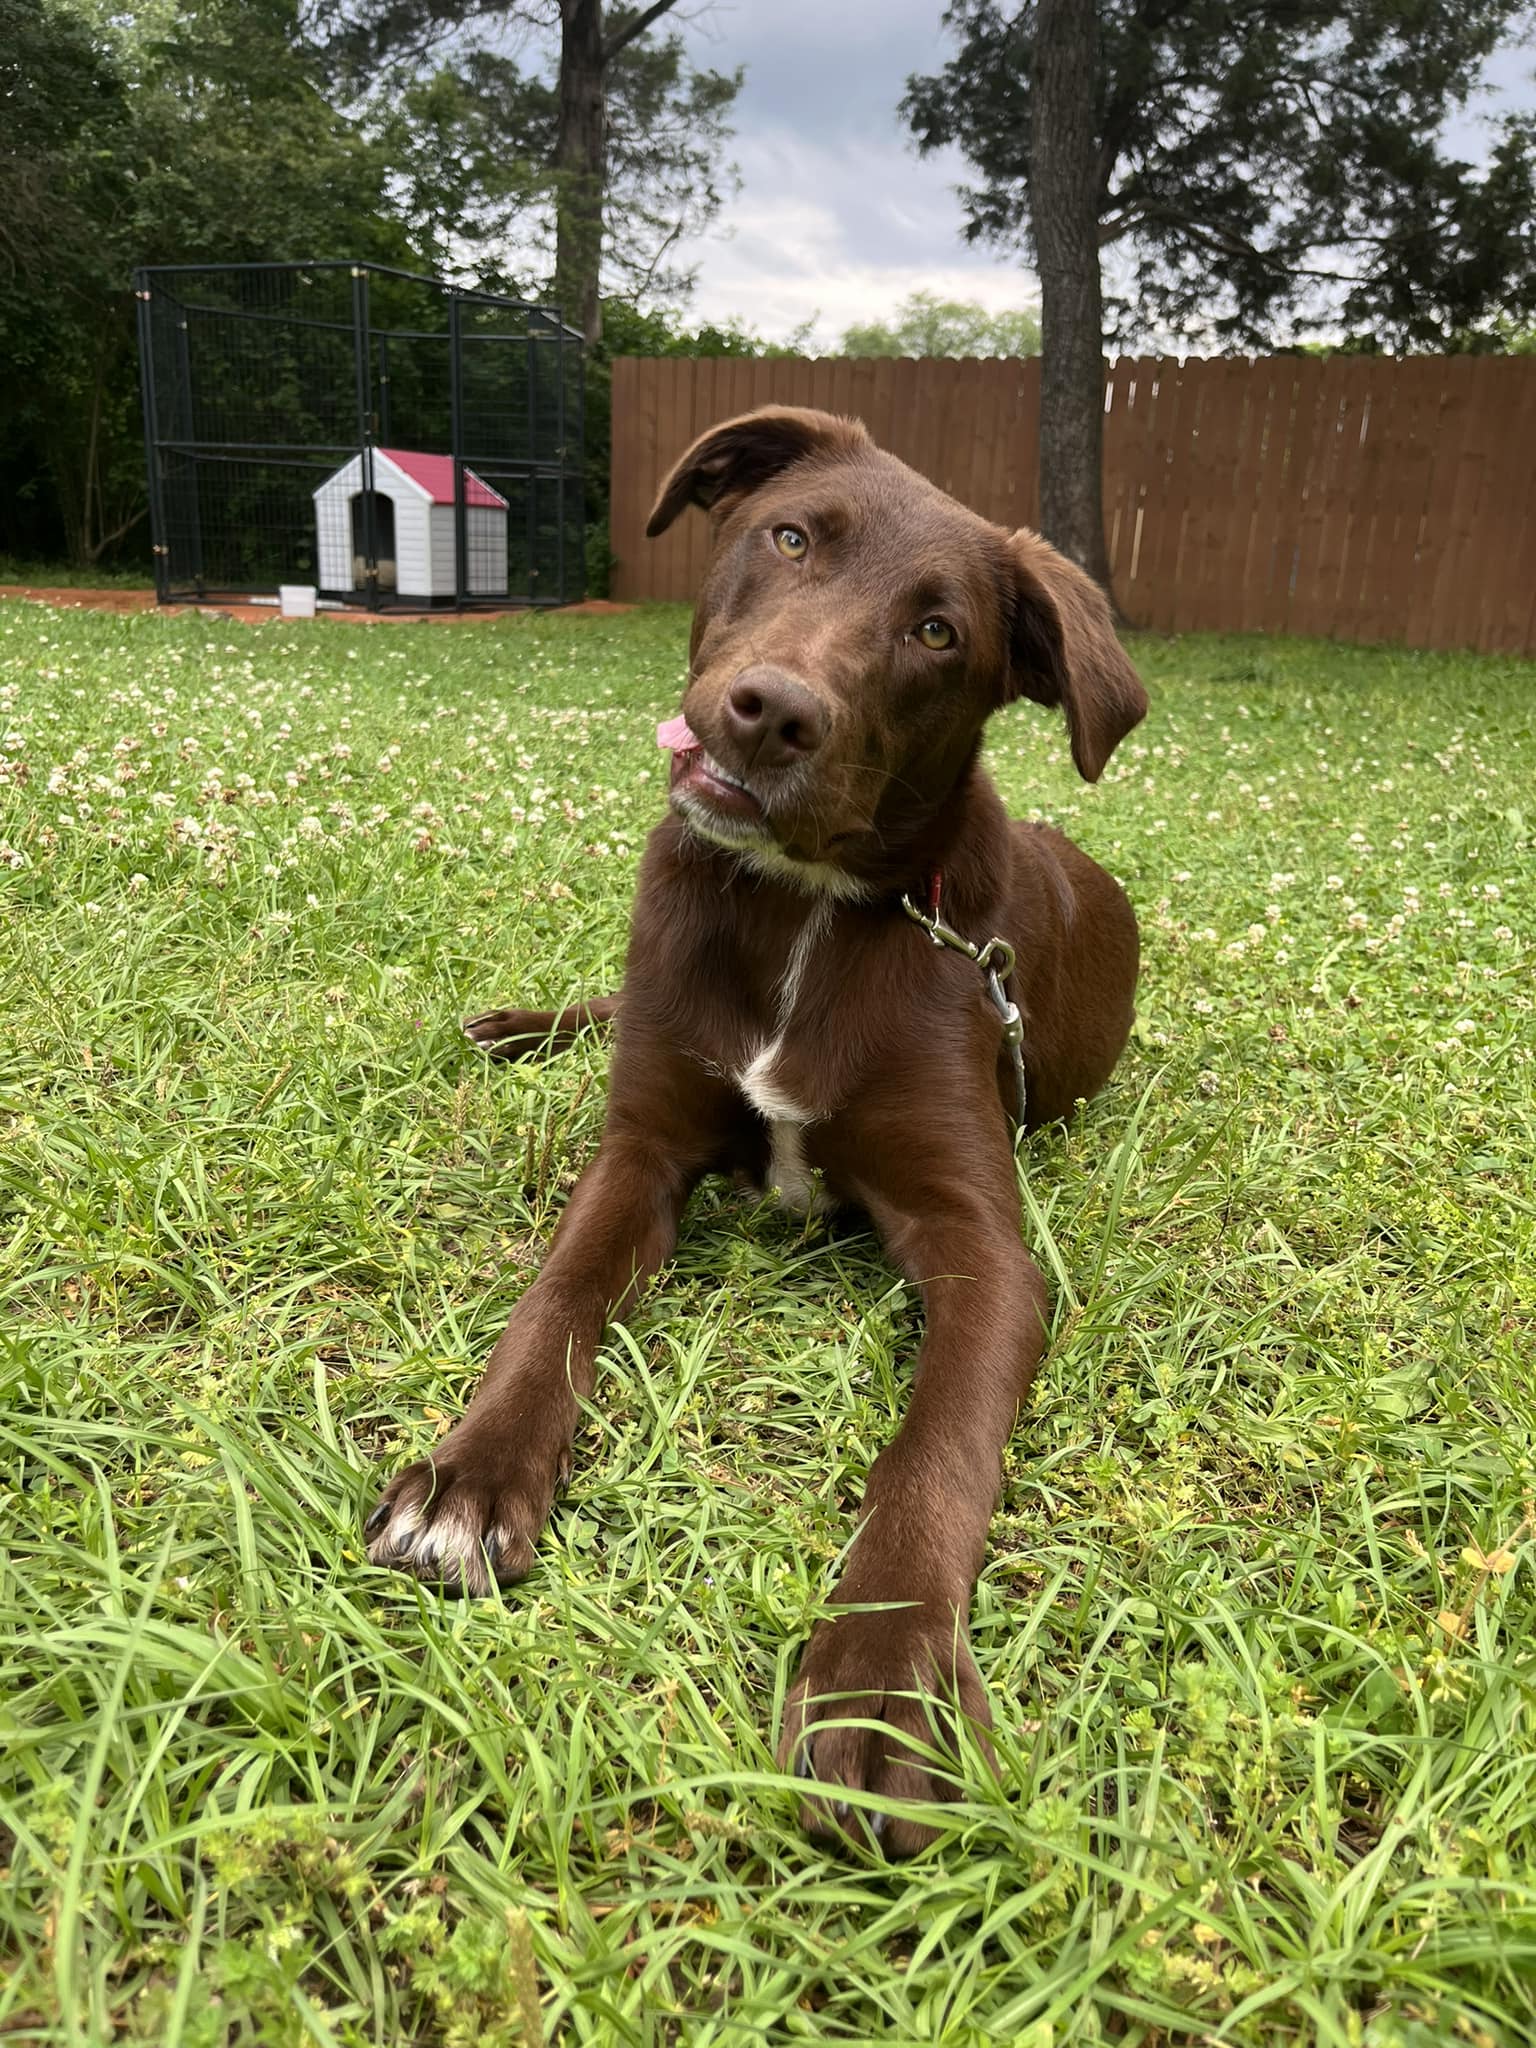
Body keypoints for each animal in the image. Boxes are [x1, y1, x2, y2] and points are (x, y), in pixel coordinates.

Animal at [366, 407, 1146, 1851]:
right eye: (790, 538)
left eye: (938, 630)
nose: (773, 711)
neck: (799, 909)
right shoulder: (639, 1148)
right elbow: (558, 1298)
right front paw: (470, 1478)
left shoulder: (982, 1245)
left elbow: (934, 1448)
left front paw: (885, 1680)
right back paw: (516, 1025)